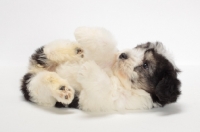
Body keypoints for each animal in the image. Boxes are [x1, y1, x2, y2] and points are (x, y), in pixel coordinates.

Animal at [20, 27, 181, 111]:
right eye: (138, 48)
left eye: (146, 65)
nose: (123, 55)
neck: (119, 78)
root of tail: (32, 69)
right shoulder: (106, 58)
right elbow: (106, 47)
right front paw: (87, 33)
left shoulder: (107, 100)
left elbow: (101, 86)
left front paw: (88, 70)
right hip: (45, 58)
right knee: (48, 51)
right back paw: (75, 50)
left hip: (39, 92)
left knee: (41, 83)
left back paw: (62, 89)